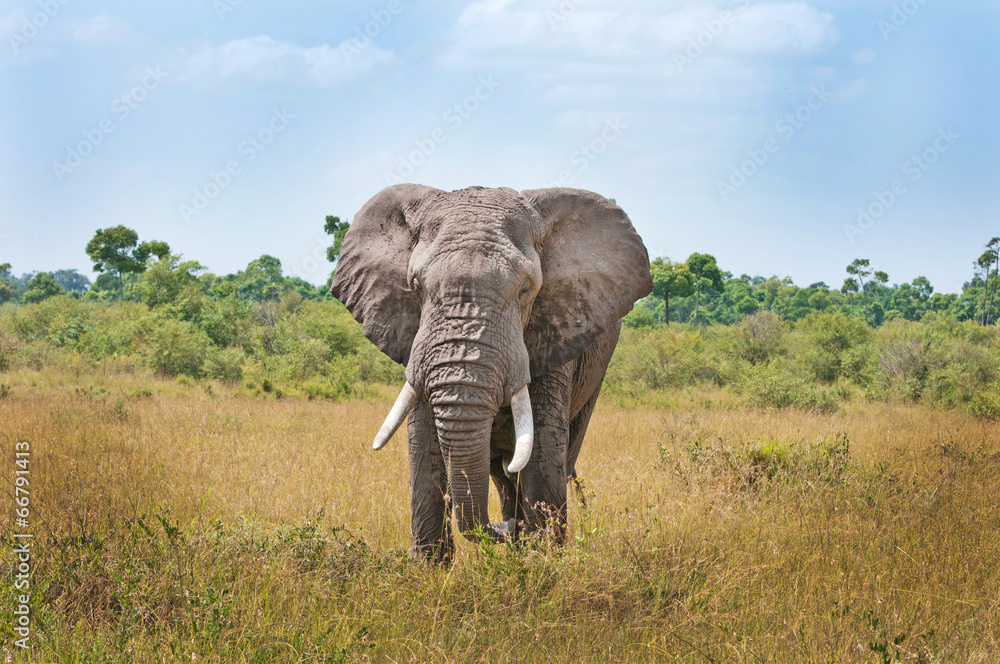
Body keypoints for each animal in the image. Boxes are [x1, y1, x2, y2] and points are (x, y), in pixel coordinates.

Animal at [331, 184, 652, 562]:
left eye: (526, 289)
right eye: (415, 285)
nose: (503, 528)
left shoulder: (558, 330)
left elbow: (542, 450)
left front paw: (543, 561)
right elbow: (424, 445)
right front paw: (429, 571)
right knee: (502, 475)